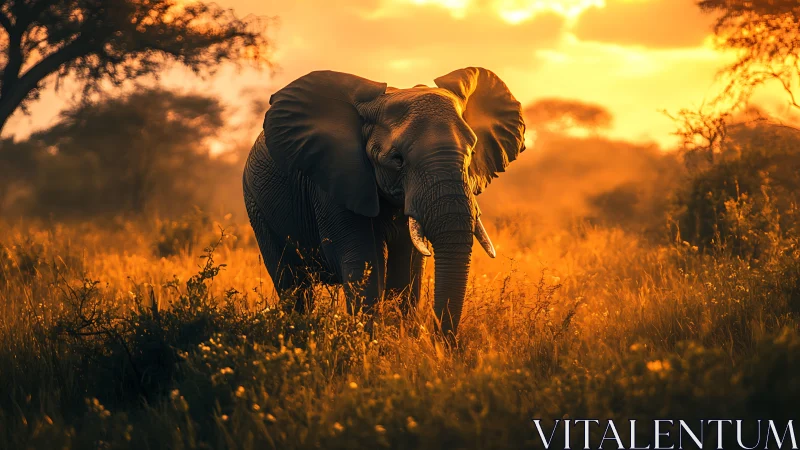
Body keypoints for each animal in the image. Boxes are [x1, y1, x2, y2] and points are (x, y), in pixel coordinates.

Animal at [243, 67, 526, 336]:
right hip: (256, 206)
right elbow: (364, 260)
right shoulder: (335, 181)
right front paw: (371, 342)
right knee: (292, 284)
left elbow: (408, 266)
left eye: (472, 153)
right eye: (397, 159)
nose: (440, 342)